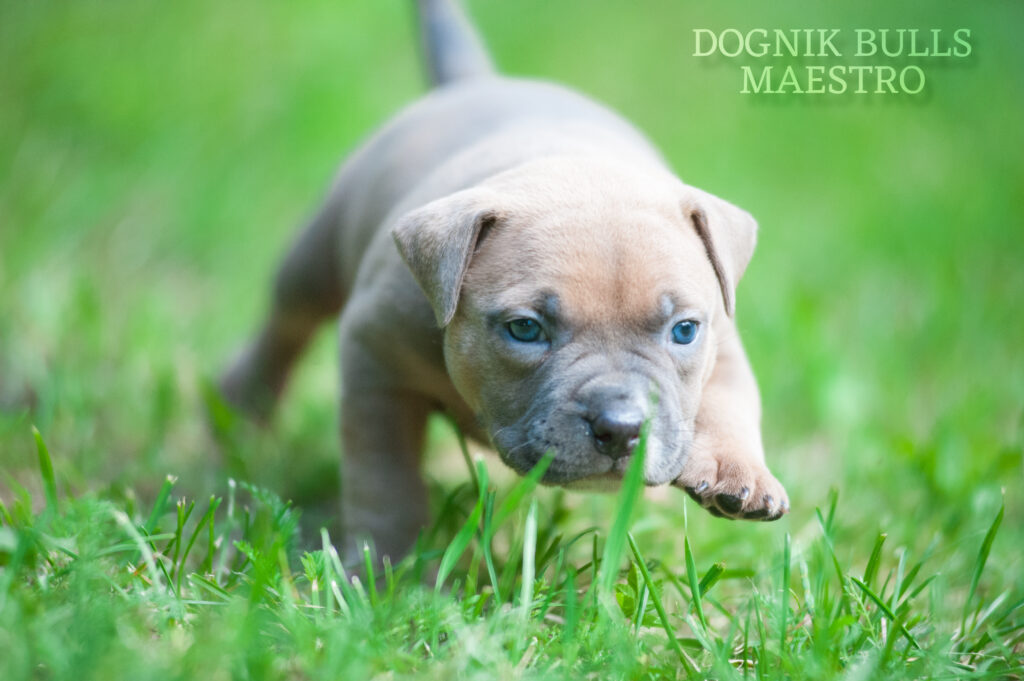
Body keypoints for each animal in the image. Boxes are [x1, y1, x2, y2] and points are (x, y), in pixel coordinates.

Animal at [220, 0, 786, 561]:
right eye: (526, 330)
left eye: (684, 331)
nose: (621, 428)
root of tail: (479, 82)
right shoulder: (374, 364)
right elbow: (385, 476)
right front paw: (386, 564)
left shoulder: (722, 336)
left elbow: (733, 402)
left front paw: (738, 472)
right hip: (316, 256)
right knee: (287, 325)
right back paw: (238, 408)